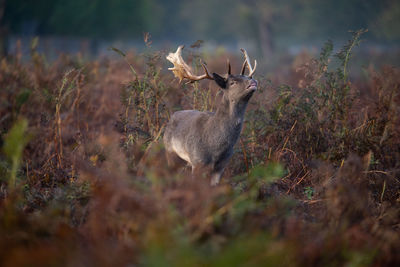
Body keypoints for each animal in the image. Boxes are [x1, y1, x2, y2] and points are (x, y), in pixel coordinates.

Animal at [164, 45, 258, 185]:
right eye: (232, 82)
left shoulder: (221, 166)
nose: (253, 81)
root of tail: (172, 116)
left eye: (248, 77)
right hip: (170, 152)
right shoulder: (197, 161)